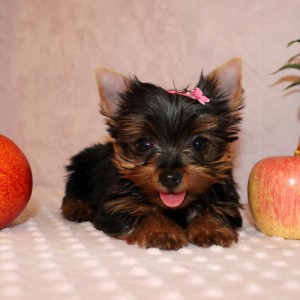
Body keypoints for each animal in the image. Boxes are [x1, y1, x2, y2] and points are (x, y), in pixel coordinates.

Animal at [62, 57, 245, 250]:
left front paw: (211, 228)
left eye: (200, 143)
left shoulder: (225, 198)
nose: (170, 177)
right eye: (143, 144)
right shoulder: (117, 205)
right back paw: (78, 208)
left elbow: (215, 208)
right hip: (80, 170)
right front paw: (161, 231)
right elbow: (143, 211)